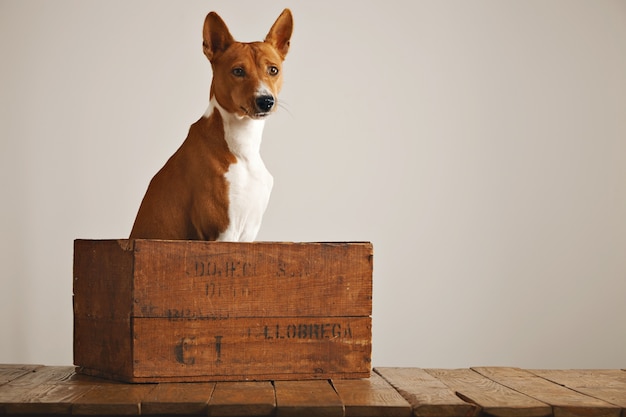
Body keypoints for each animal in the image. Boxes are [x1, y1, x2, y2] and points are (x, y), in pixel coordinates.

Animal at [129, 8, 292, 240]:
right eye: (238, 71)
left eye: (273, 70)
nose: (266, 101)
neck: (243, 147)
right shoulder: (223, 231)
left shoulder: (249, 231)